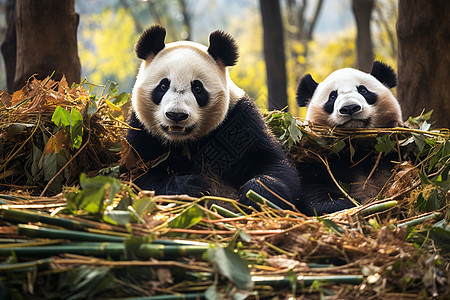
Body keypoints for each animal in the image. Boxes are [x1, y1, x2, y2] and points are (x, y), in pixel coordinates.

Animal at [122, 24, 302, 210]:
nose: (176, 115)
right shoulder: (141, 130)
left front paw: (256, 194)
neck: (184, 142)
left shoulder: (239, 119)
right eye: (163, 86)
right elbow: (136, 177)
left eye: (197, 88)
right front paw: (193, 186)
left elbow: (272, 162)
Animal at [296, 61, 404, 216]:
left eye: (363, 90)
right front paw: (351, 203)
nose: (350, 108)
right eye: (332, 97)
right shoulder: (319, 158)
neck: (357, 145)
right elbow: (312, 189)